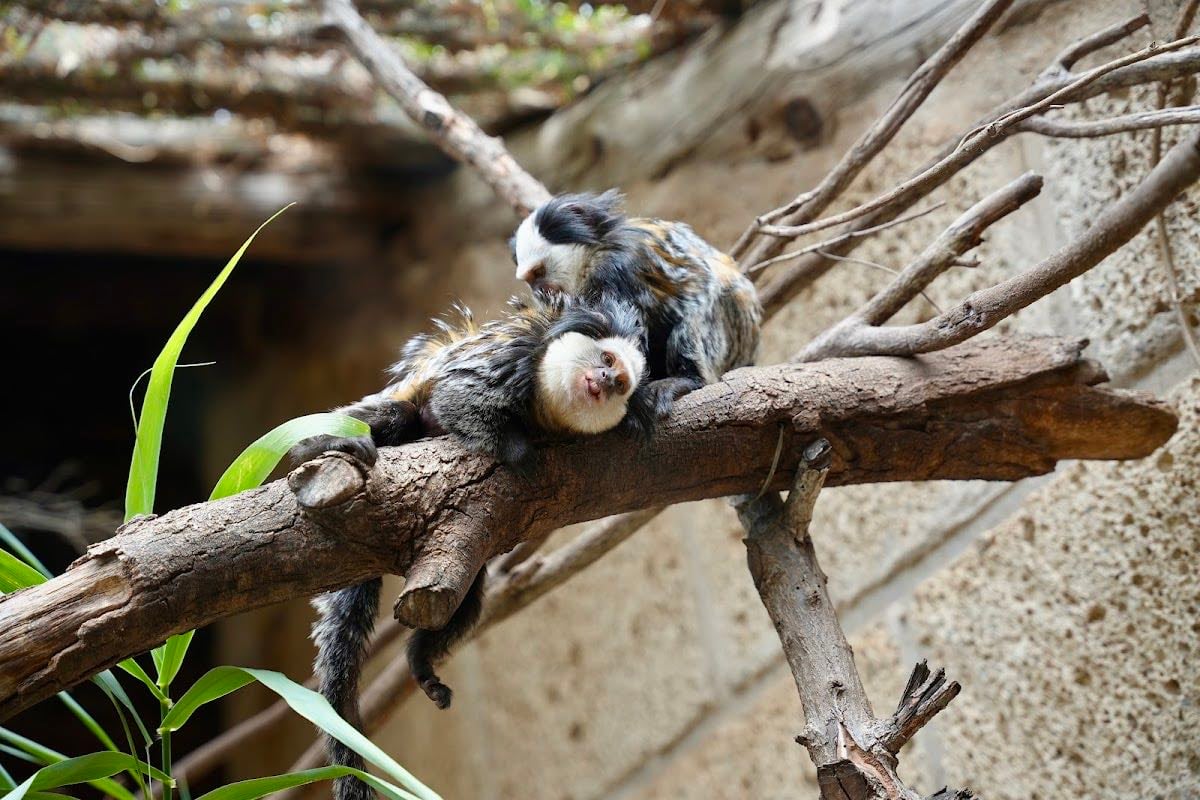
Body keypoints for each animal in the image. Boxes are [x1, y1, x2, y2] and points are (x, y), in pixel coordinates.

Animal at [293, 293, 656, 800]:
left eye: (621, 382)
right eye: (606, 361)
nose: (605, 382)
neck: (545, 408)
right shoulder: (512, 361)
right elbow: (456, 398)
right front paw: (521, 454)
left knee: (462, 598)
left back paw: (422, 661)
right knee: (394, 416)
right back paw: (327, 444)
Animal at [510, 190, 762, 416]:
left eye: (538, 273)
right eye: (529, 280)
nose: (538, 290)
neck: (593, 254)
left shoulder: (617, 267)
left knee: (696, 314)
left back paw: (688, 379)